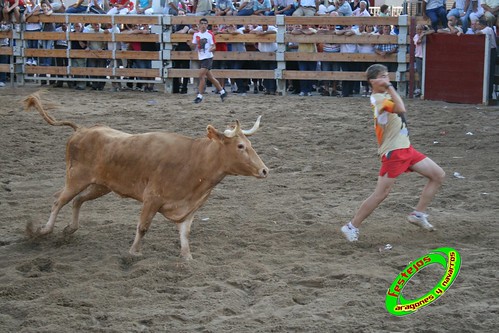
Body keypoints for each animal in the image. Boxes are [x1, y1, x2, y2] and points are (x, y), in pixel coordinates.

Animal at [22, 92, 270, 260]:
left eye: (249, 144)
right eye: (240, 146)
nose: (264, 170)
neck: (194, 160)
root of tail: (81, 130)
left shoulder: (189, 206)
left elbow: (185, 233)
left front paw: (187, 258)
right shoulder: (152, 198)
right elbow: (143, 226)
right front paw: (134, 253)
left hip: (100, 185)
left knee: (78, 200)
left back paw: (70, 229)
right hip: (76, 178)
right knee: (59, 199)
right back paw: (43, 230)